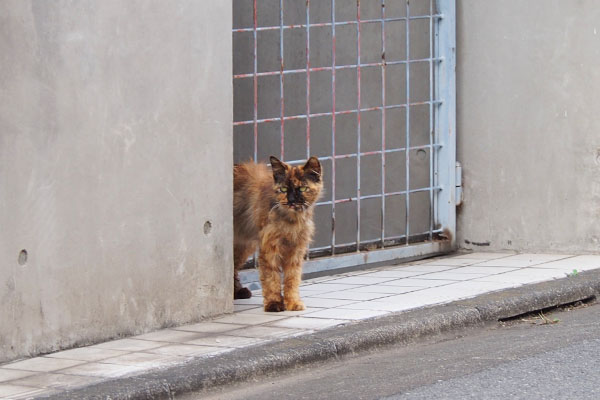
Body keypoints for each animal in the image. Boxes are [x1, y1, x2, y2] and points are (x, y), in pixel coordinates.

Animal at [232, 156, 324, 312]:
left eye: (303, 188)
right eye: (284, 189)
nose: (291, 200)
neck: (291, 221)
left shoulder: (296, 250)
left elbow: (292, 279)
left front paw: (292, 302)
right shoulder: (269, 249)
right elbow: (272, 278)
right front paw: (274, 303)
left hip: (243, 246)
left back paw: (237, 292)